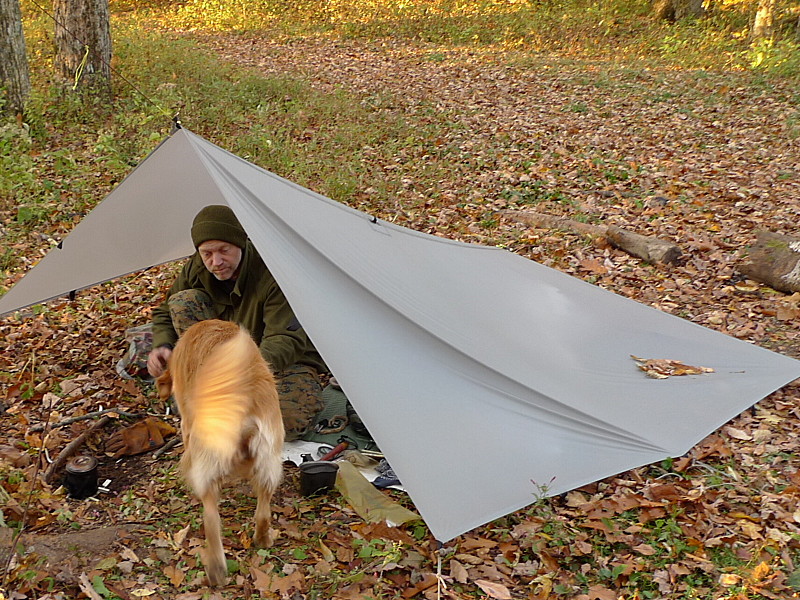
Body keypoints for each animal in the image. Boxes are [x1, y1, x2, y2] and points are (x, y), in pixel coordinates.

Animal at [156, 318, 284, 584]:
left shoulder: (187, 423)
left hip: (205, 461)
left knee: (211, 520)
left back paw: (215, 568)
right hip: (270, 463)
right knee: (263, 511)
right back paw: (263, 538)